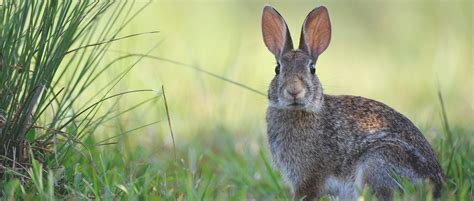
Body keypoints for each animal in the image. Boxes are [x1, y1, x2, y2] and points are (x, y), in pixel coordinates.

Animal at [262, 5, 444, 201]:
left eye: (312, 69)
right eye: (277, 69)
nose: (294, 90)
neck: (301, 111)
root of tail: (436, 186)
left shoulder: (310, 178)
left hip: (378, 162)